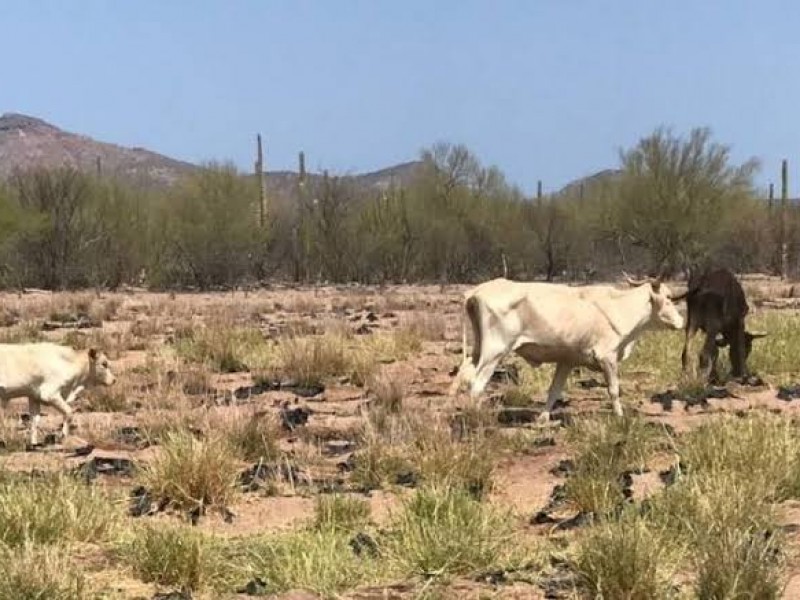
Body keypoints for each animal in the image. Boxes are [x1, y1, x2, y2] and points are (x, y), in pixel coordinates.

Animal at [446, 276, 684, 420]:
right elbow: (614, 390)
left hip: (479, 350)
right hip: (495, 352)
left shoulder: (567, 361)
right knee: (476, 384)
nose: (681, 322)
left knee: (461, 375)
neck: (619, 307)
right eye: (669, 298)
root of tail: (477, 291)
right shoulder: (607, 357)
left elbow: (554, 391)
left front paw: (542, 419)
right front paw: (620, 417)